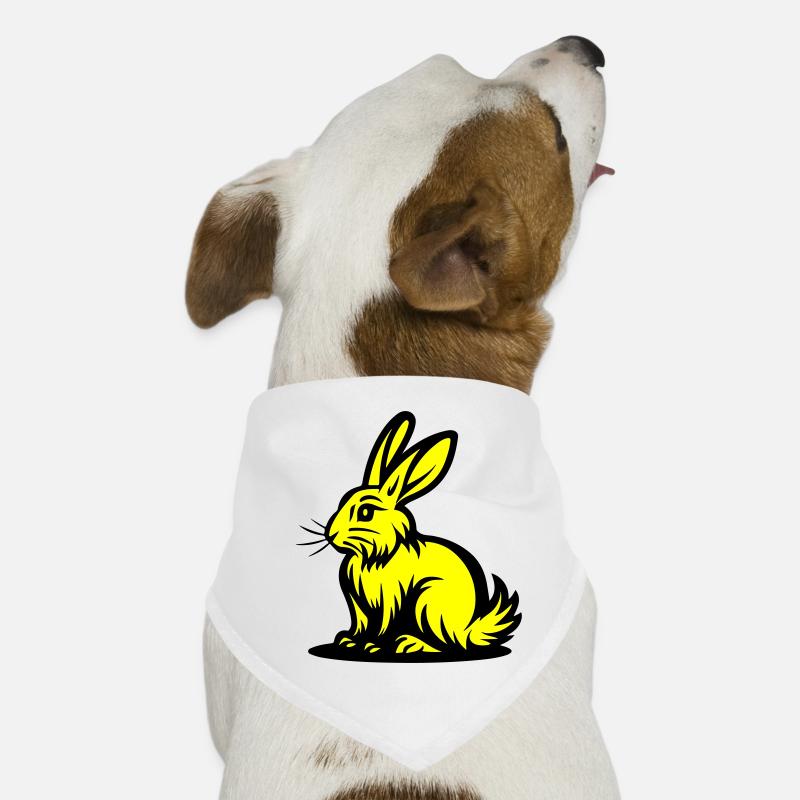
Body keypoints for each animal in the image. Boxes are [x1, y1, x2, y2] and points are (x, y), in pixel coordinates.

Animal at [317, 411, 521, 660]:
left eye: (365, 512)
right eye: (343, 501)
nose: (331, 534)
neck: (373, 556)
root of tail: (467, 632)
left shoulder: (391, 600)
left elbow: (383, 625)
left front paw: (373, 646)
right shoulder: (358, 606)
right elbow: (360, 625)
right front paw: (348, 641)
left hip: (429, 603)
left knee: (446, 644)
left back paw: (410, 644)